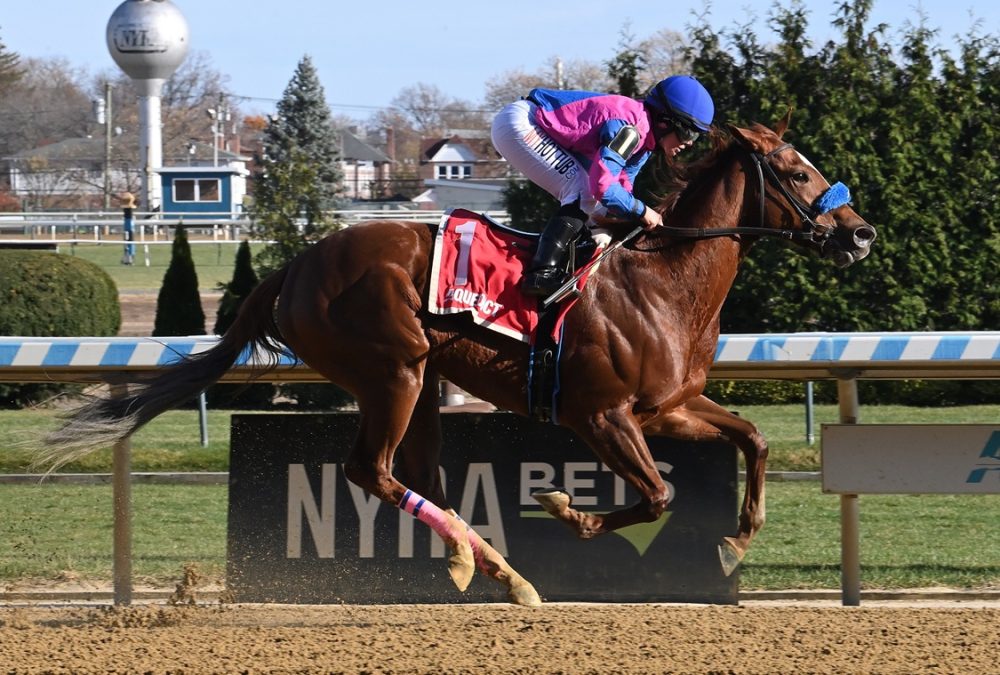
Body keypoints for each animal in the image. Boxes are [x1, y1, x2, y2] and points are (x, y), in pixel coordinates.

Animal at [41, 112, 876, 608]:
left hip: (422, 383)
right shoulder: (601, 414)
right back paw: (487, 567)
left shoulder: (667, 406)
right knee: (371, 470)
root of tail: (297, 267)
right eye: (798, 173)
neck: (663, 280)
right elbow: (657, 494)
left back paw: (498, 571)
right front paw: (568, 507)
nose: (861, 233)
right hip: (395, 370)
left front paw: (736, 539)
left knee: (422, 476)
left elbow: (752, 439)